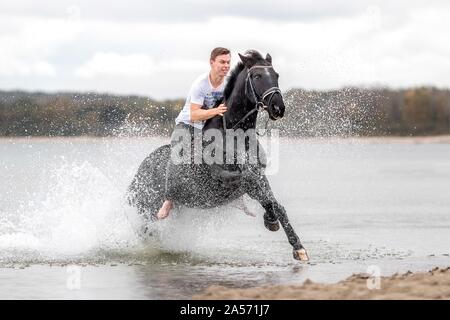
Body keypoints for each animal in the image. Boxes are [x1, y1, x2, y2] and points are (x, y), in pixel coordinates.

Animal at [126, 49, 310, 260]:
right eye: (257, 76)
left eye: (276, 75)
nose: (278, 108)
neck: (234, 135)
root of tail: (138, 173)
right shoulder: (225, 177)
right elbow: (252, 183)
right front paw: (273, 221)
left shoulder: (259, 175)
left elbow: (274, 203)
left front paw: (293, 242)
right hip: (145, 208)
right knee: (147, 229)